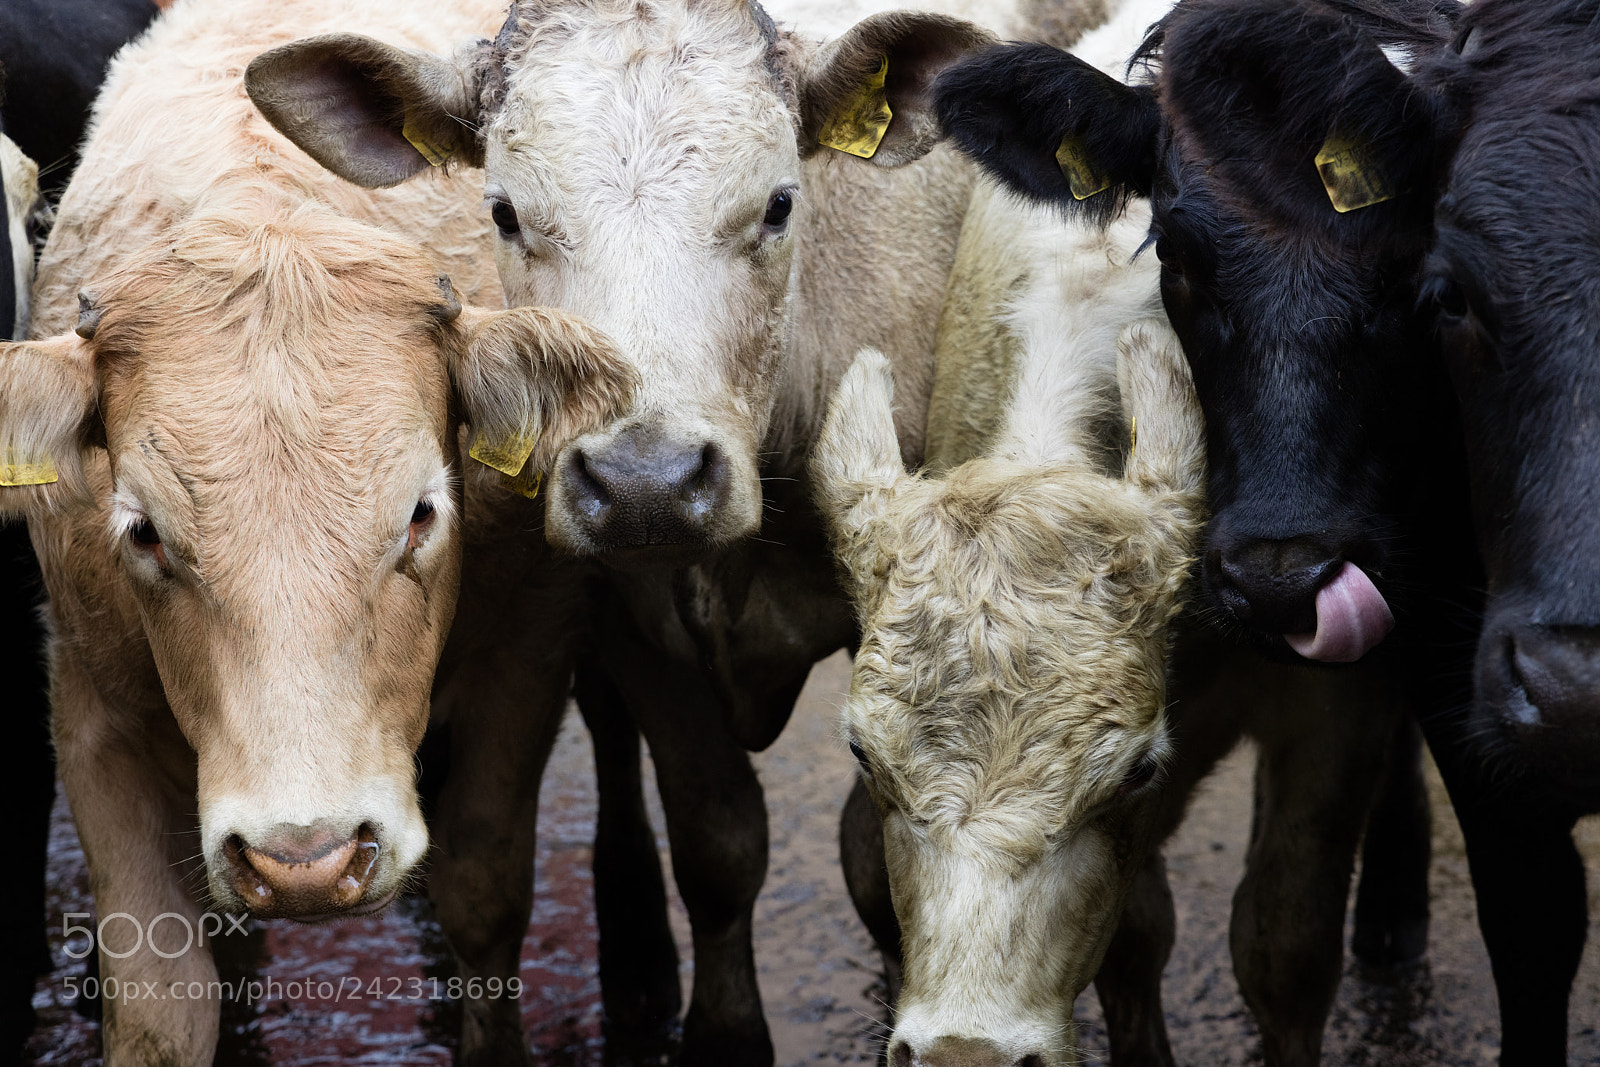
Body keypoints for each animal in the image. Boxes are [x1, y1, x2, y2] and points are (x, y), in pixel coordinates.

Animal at [4, 0, 634, 1062]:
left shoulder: (527, 651)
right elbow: (162, 996)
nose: (308, 858)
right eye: (143, 532)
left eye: (421, 513)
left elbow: (483, 897)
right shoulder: (91, 704)